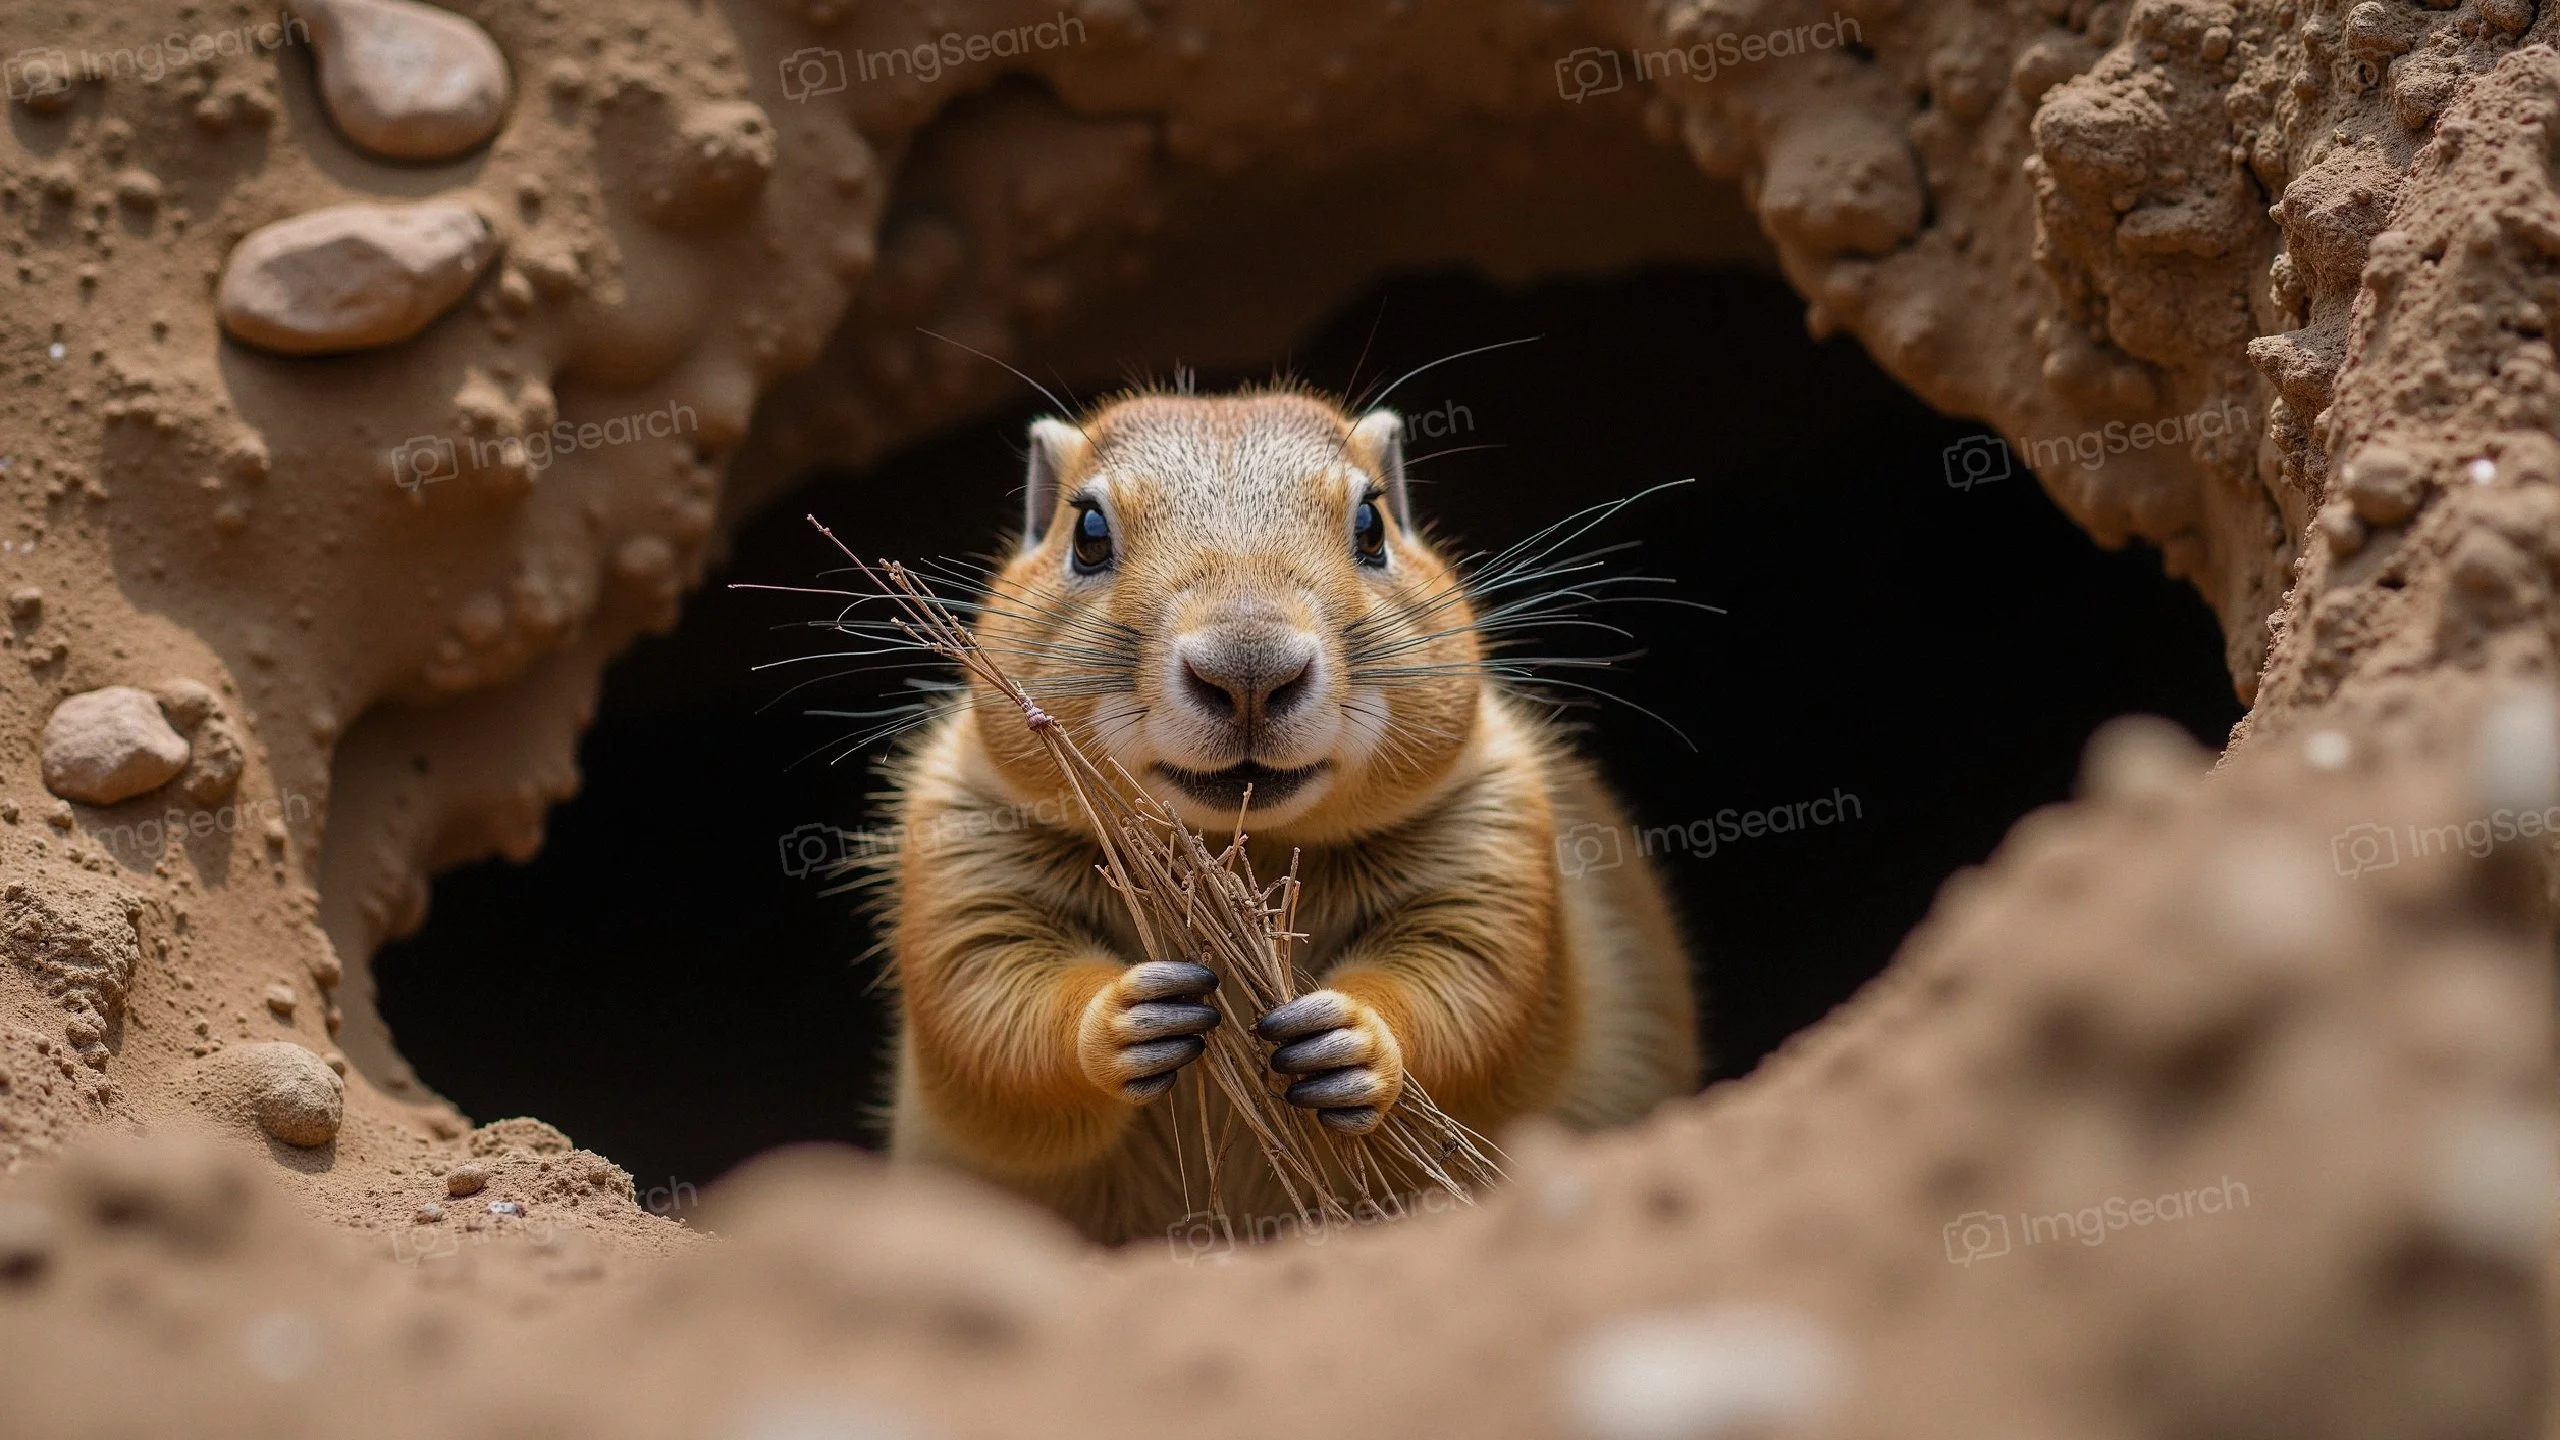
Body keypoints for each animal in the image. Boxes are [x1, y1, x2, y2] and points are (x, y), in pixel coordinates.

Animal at [876, 387, 1700, 1243]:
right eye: (1088, 534)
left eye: (1372, 525)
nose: (1249, 670)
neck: (1248, 840)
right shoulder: (961, 854)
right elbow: (988, 1002)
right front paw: (1131, 1012)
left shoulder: (1497, 848)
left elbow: (1469, 987)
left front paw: (1349, 1035)